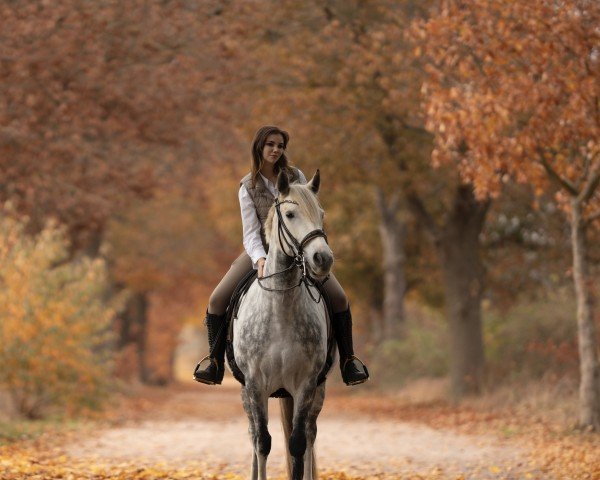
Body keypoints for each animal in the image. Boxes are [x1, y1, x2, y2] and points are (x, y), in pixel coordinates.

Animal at [231, 169, 332, 480]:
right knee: (253, 435)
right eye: (289, 214)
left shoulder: (306, 384)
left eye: (321, 214)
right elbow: (263, 442)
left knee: (310, 434)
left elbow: (297, 444)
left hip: (316, 392)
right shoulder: (254, 384)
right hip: (247, 394)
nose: (323, 259)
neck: (281, 311)